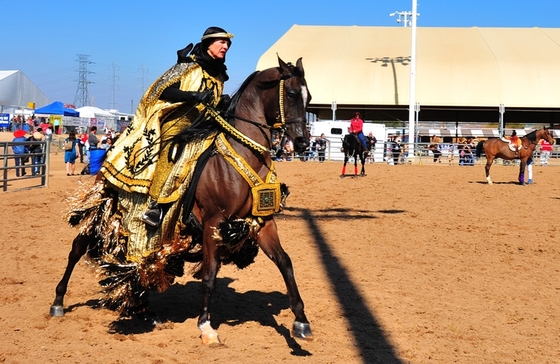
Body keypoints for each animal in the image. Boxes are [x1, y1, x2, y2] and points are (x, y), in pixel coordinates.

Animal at [49, 56, 312, 344]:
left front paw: (301, 321)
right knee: (77, 248)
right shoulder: (213, 222)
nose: (302, 142)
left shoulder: (261, 221)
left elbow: (285, 263)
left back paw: (142, 309)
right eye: (291, 93)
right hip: (100, 209)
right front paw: (206, 326)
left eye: (309, 98)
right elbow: (209, 275)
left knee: (137, 264)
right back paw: (59, 301)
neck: (245, 153)